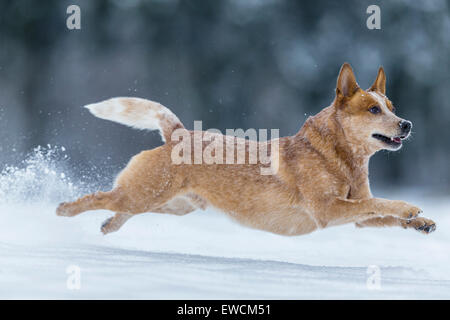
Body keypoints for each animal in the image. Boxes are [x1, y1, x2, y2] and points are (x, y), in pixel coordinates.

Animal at [56, 63, 436, 236]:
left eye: (391, 106)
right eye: (373, 109)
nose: (406, 124)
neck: (341, 158)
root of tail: (177, 133)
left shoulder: (354, 215)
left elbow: (377, 210)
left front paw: (422, 221)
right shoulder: (328, 209)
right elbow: (381, 202)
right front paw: (410, 207)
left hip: (173, 204)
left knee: (119, 208)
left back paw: (108, 225)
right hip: (145, 193)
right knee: (100, 197)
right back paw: (63, 210)